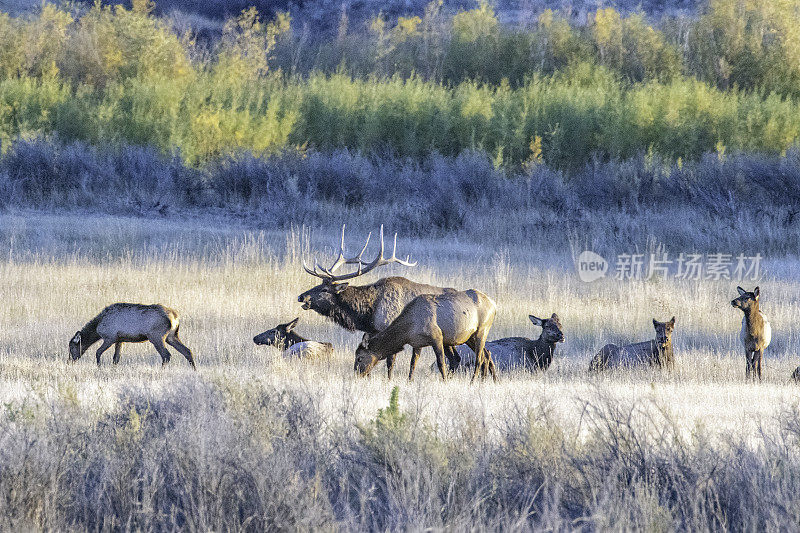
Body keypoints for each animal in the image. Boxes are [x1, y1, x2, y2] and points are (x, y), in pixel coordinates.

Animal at [67, 302, 195, 368]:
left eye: (71, 347)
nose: (69, 361)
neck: (97, 327)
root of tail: (175, 317)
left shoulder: (110, 337)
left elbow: (98, 352)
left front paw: (99, 366)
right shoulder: (120, 339)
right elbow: (116, 358)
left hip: (157, 336)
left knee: (166, 355)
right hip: (172, 336)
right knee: (187, 351)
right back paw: (194, 369)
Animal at [298, 224, 462, 378]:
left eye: (325, 290)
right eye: (319, 285)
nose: (301, 296)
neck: (369, 314)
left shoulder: (389, 328)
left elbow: (390, 362)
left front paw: (389, 379)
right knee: (455, 358)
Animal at [354, 288, 496, 380]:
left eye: (359, 358)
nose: (356, 374)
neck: (408, 329)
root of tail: (494, 305)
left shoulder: (437, 337)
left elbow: (441, 363)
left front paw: (444, 381)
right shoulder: (417, 343)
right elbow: (412, 364)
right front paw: (409, 381)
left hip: (482, 330)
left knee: (479, 358)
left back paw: (473, 381)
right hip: (469, 336)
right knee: (487, 354)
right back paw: (490, 380)